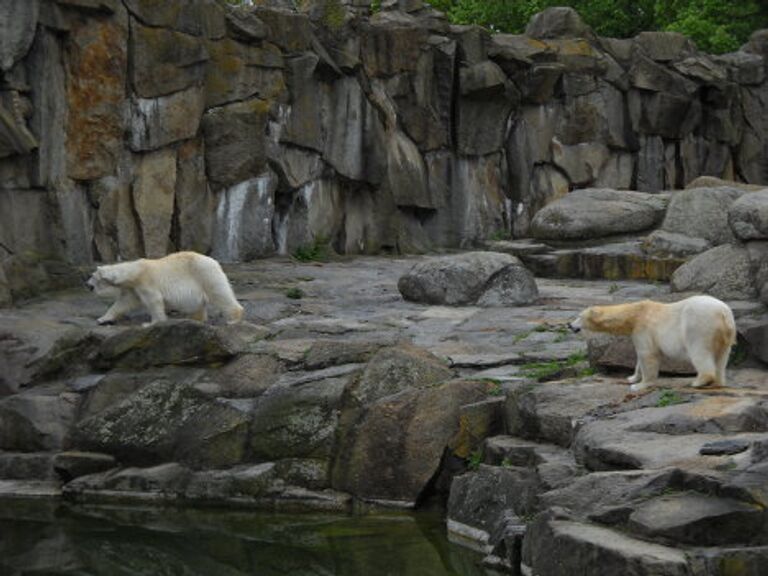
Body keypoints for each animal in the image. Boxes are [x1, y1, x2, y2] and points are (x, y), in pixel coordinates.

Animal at [86, 251, 243, 326]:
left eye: (92, 276)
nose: (87, 285)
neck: (134, 272)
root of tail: (215, 261)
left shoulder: (145, 281)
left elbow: (154, 301)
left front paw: (151, 323)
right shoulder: (133, 288)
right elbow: (123, 303)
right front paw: (102, 319)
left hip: (205, 273)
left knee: (219, 293)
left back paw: (233, 319)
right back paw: (196, 319)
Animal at [568, 296, 736, 392]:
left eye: (579, 316)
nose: (569, 325)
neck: (635, 314)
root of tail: (724, 314)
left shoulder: (644, 328)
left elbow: (647, 355)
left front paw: (639, 385)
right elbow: (639, 358)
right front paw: (632, 377)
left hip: (699, 326)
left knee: (699, 352)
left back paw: (699, 381)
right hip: (726, 335)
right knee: (722, 357)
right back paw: (718, 382)